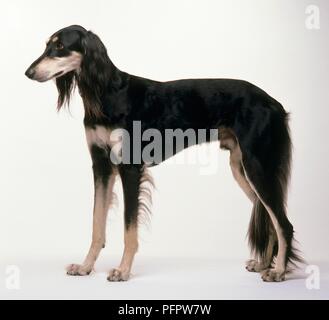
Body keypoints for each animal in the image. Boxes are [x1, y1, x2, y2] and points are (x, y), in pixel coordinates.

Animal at [25, 25, 302, 282]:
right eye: (48, 45)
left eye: (60, 46)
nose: (28, 73)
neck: (105, 93)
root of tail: (275, 103)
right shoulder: (101, 165)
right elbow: (96, 223)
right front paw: (85, 267)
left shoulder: (130, 167)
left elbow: (129, 227)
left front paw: (123, 270)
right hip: (241, 166)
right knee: (266, 214)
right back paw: (264, 264)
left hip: (257, 166)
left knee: (283, 222)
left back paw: (278, 270)